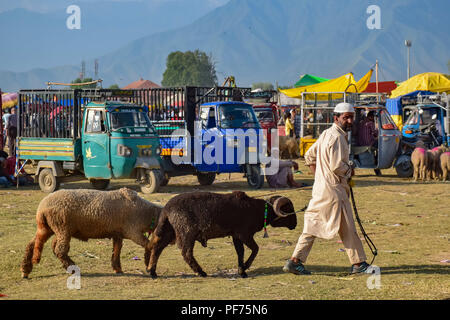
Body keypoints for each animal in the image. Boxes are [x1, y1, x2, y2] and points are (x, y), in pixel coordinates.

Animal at [21, 188, 162, 278]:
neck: (146, 213)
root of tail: (41, 208)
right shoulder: (133, 231)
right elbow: (149, 245)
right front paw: (149, 266)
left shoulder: (118, 233)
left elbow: (116, 251)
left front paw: (117, 268)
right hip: (62, 227)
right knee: (60, 250)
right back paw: (73, 268)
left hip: (48, 228)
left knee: (32, 244)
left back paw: (25, 270)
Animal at [146, 191, 298, 278]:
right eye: (288, 208)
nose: (295, 224)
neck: (258, 210)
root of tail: (166, 208)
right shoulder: (244, 234)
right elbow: (255, 249)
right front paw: (245, 267)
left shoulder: (236, 235)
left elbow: (240, 252)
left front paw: (241, 270)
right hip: (187, 233)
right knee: (186, 253)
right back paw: (201, 272)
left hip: (168, 231)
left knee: (157, 249)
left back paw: (152, 272)